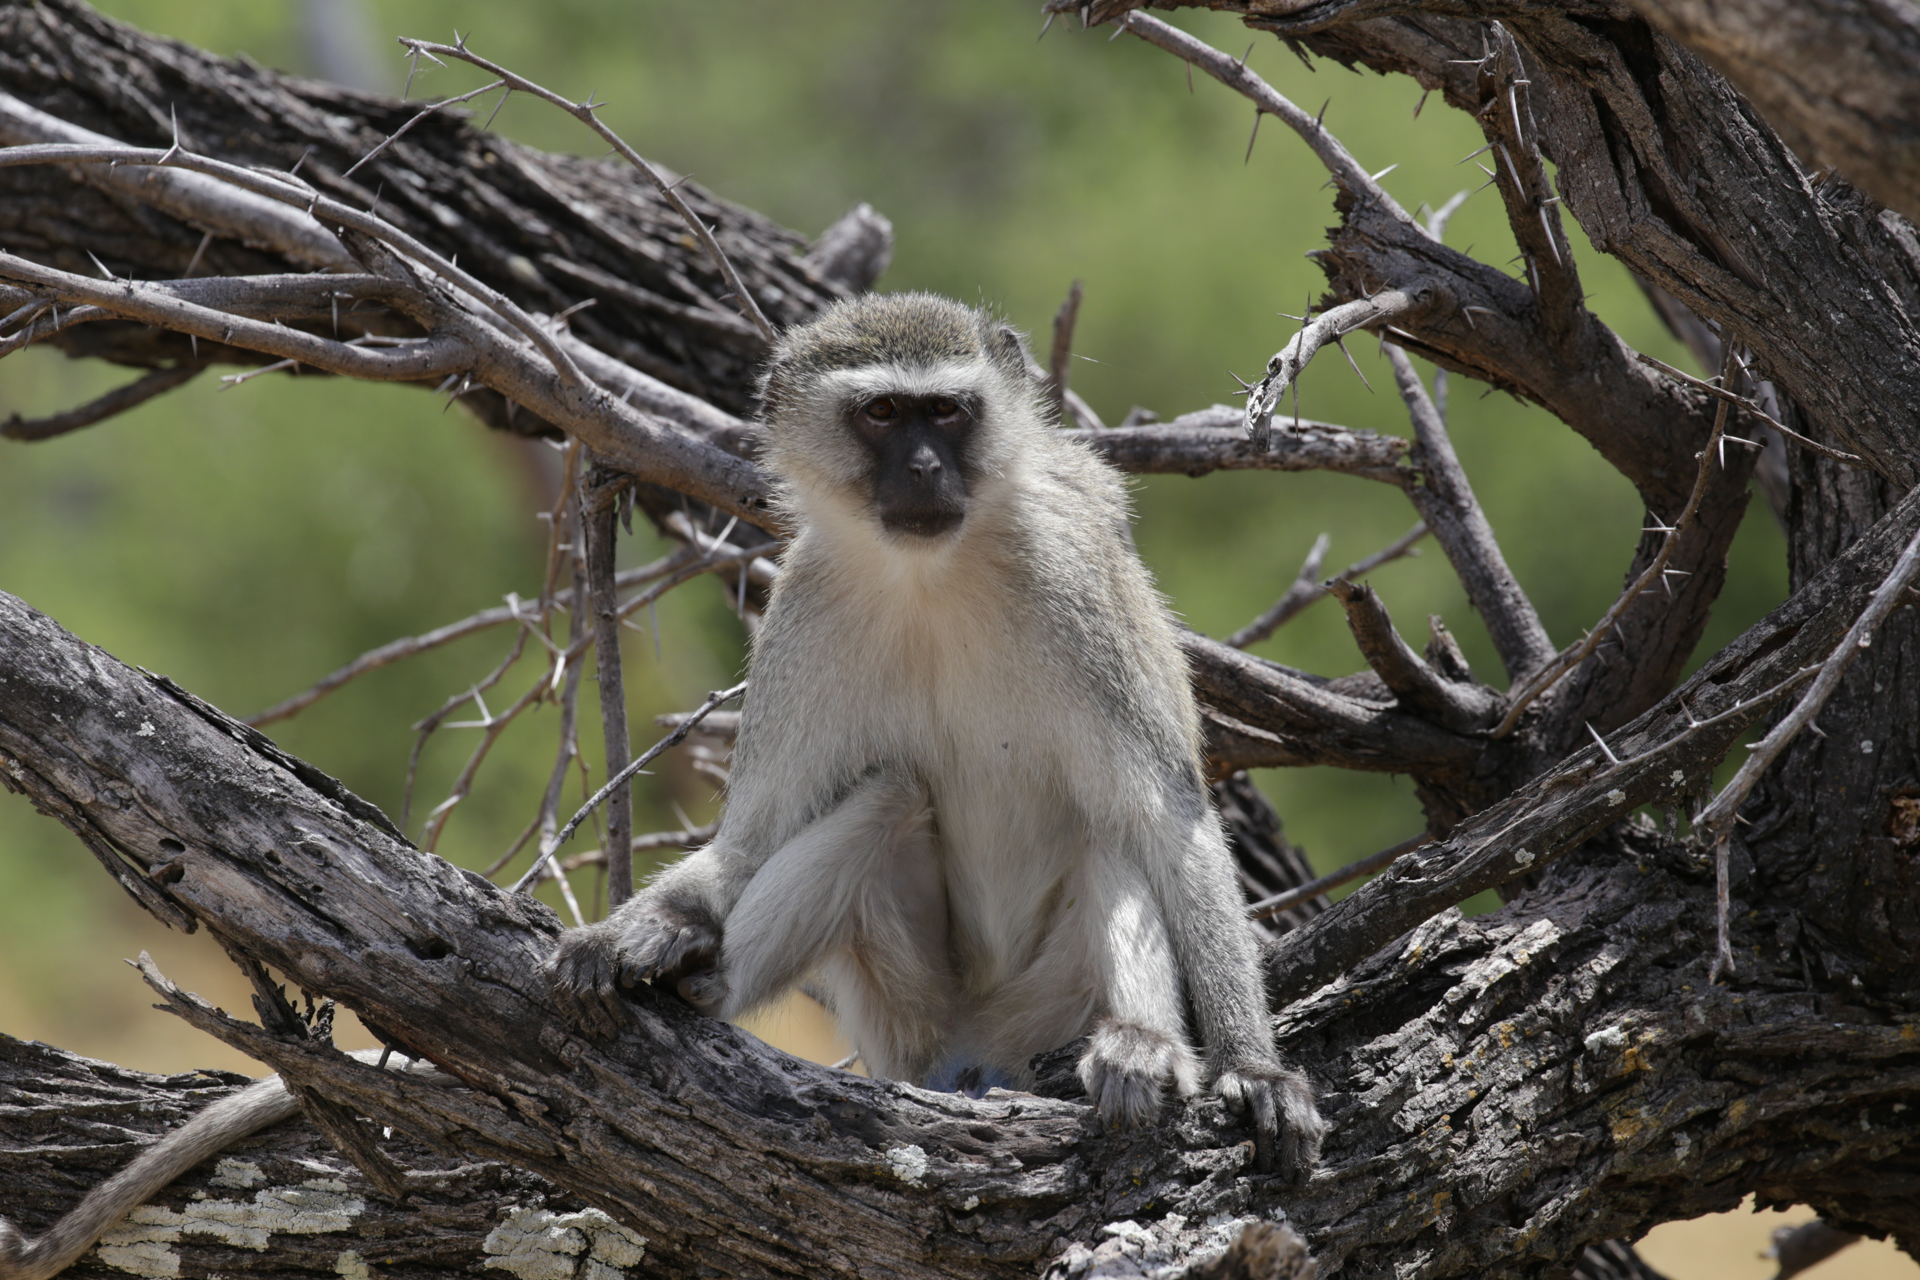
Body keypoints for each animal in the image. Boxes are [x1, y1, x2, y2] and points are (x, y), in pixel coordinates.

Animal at [549, 293, 1328, 1182]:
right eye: (884, 413)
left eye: (949, 411)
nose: (923, 468)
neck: (933, 574)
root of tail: (972, 1050)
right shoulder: (803, 609)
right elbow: (752, 838)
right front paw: (641, 930)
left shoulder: (1075, 585)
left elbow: (1171, 823)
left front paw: (1253, 1069)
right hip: (903, 1006)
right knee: (888, 792)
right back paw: (704, 981)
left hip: (1045, 1008)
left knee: (1108, 827)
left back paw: (1141, 1047)